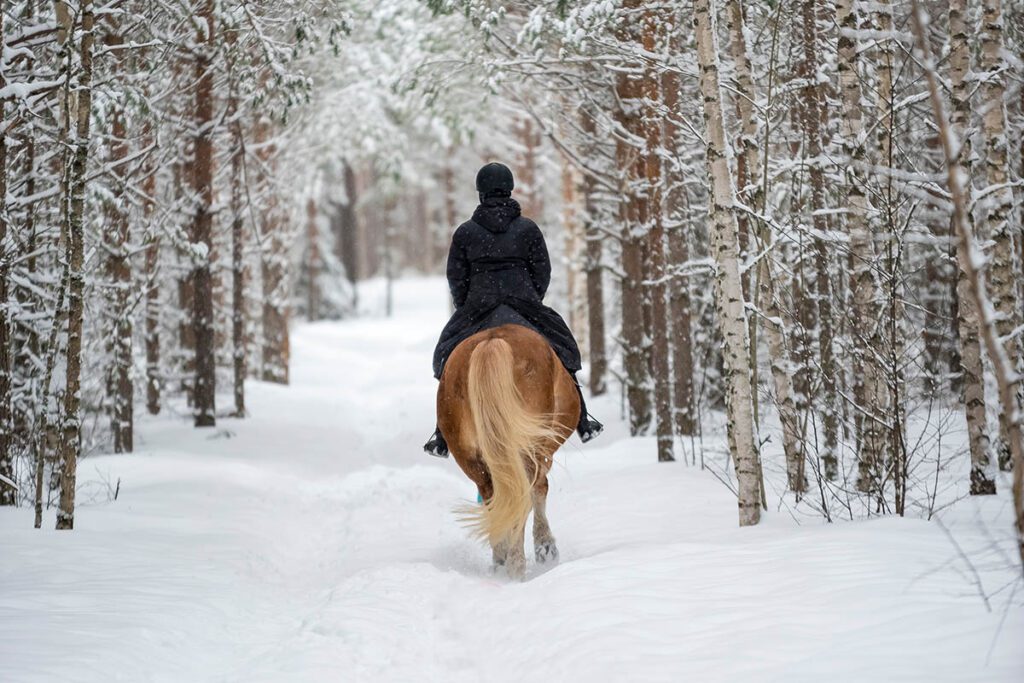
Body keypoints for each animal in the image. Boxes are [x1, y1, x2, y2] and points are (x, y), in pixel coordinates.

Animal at [438, 323, 585, 581]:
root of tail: (491, 342)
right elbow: (540, 490)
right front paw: (546, 548)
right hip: (528, 446)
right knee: (526, 494)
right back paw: (517, 566)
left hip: (470, 457)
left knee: (495, 498)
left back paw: (501, 561)